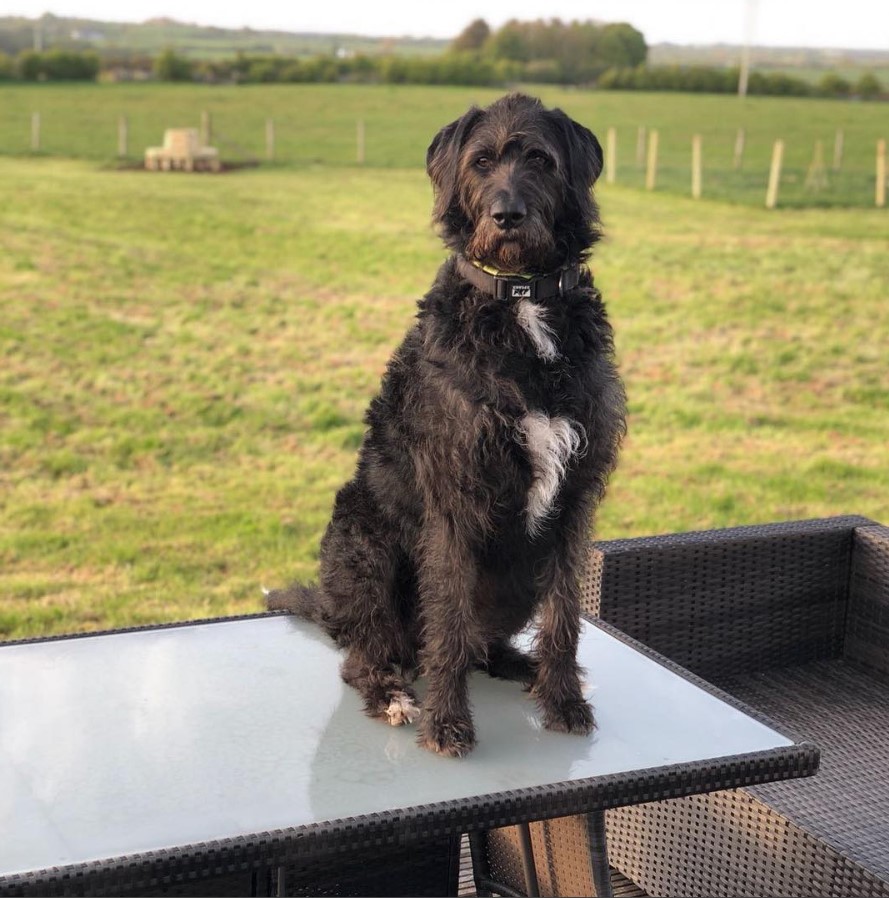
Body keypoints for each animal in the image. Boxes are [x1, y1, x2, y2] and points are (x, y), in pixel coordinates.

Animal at [268, 93, 628, 756]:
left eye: (540, 160)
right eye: (481, 162)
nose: (506, 215)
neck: (520, 301)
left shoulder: (574, 500)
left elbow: (565, 615)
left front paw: (564, 700)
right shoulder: (454, 497)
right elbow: (449, 624)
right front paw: (447, 722)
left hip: (518, 577)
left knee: (484, 641)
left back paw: (521, 665)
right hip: (364, 549)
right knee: (366, 656)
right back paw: (392, 693)